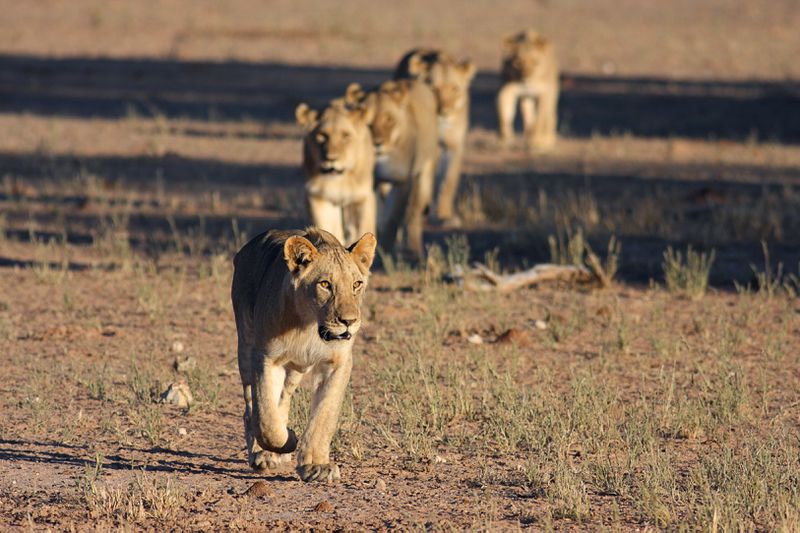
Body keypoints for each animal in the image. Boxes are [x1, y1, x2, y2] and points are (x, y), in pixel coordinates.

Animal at [232, 227, 376, 482]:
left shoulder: (338, 363)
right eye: (325, 284)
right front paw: (287, 439)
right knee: (251, 407)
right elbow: (265, 417)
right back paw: (262, 453)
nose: (349, 321)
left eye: (357, 284)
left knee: (283, 398)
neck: (310, 327)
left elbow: (324, 415)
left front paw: (316, 466)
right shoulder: (266, 357)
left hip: (296, 369)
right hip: (246, 348)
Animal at [295, 98, 376, 246]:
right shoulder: (318, 196)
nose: (331, 159)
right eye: (322, 136)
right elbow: (327, 229)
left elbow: (361, 230)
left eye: (346, 136)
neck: (339, 181)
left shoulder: (361, 197)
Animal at [346, 79, 439, 260]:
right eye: (367, 123)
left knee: (414, 212)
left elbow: (393, 217)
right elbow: (373, 216)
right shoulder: (371, 183)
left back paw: (415, 250)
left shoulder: (403, 181)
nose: (377, 143)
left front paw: (386, 251)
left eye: (389, 119)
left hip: (425, 172)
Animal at [394, 49, 476, 226]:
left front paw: (445, 215)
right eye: (434, 89)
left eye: (455, 88)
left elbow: (449, 181)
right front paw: (428, 212)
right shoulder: (431, 148)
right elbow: (429, 182)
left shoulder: (455, 146)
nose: (444, 112)